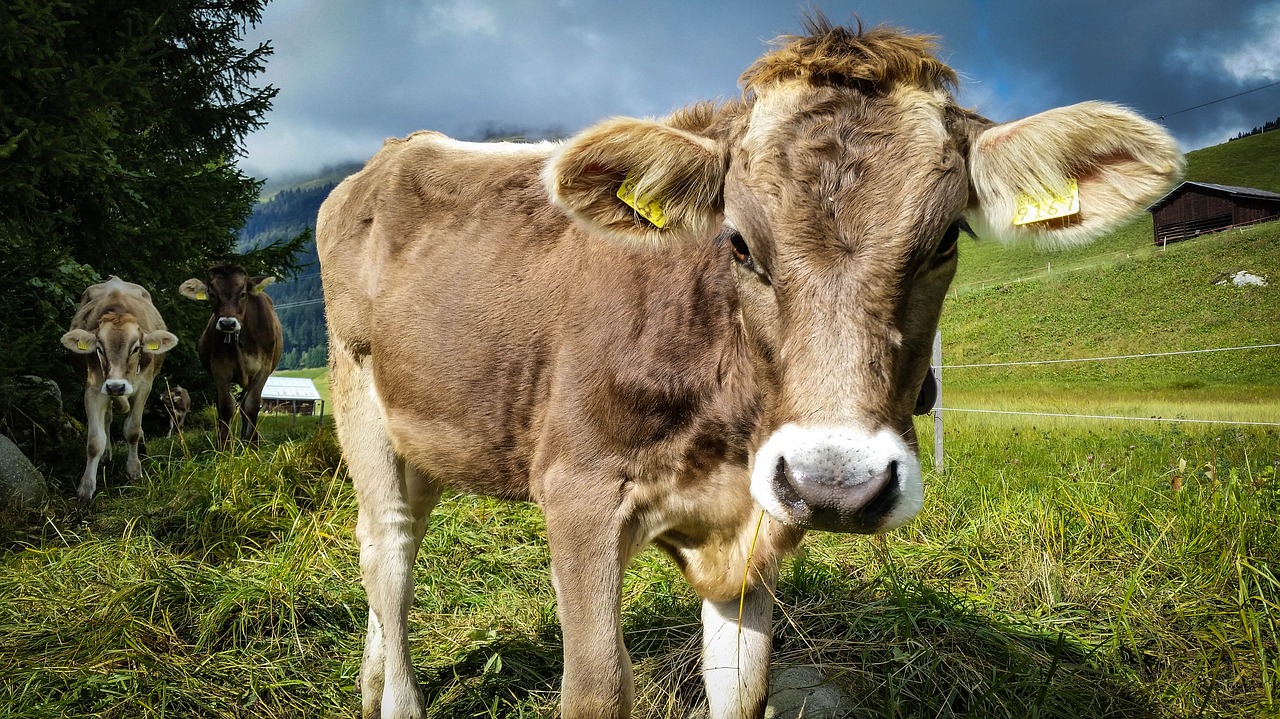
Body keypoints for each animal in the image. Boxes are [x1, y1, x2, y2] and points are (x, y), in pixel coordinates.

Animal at [60, 273, 177, 498]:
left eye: (136, 348)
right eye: (99, 349)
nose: (116, 386)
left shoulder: (144, 387)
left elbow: (132, 430)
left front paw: (134, 470)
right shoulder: (94, 389)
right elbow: (94, 441)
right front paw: (86, 486)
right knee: (108, 419)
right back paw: (107, 453)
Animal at [176, 263, 281, 445]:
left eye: (243, 293)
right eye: (212, 294)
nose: (227, 323)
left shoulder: (263, 369)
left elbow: (252, 405)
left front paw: (252, 444)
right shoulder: (220, 369)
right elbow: (226, 406)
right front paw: (224, 444)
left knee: (245, 404)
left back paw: (247, 438)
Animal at [317, 16, 1177, 716]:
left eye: (945, 241)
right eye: (738, 243)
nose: (837, 484)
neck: (726, 426)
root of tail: (392, 153)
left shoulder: (756, 522)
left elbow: (745, 687)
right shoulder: (577, 491)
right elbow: (598, 687)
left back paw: (368, 681)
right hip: (359, 397)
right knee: (388, 552)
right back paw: (392, 695)